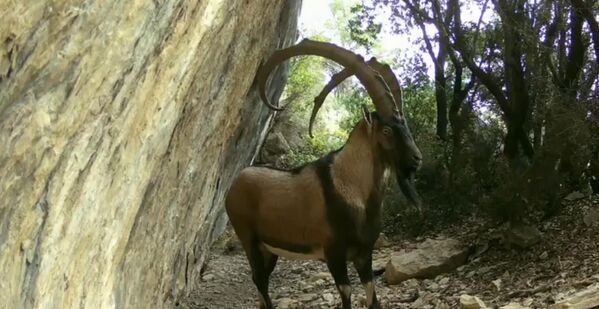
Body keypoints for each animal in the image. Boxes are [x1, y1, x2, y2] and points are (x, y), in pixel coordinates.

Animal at [226, 39, 426, 306]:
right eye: (386, 130)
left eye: (405, 125)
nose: (417, 159)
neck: (352, 188)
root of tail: (233, 186)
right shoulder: (334, 254)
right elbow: (347, 295)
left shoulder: (364, 254)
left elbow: (372, 295)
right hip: (249, 239)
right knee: (260, 281)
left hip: (269, 249)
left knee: (260, 281)